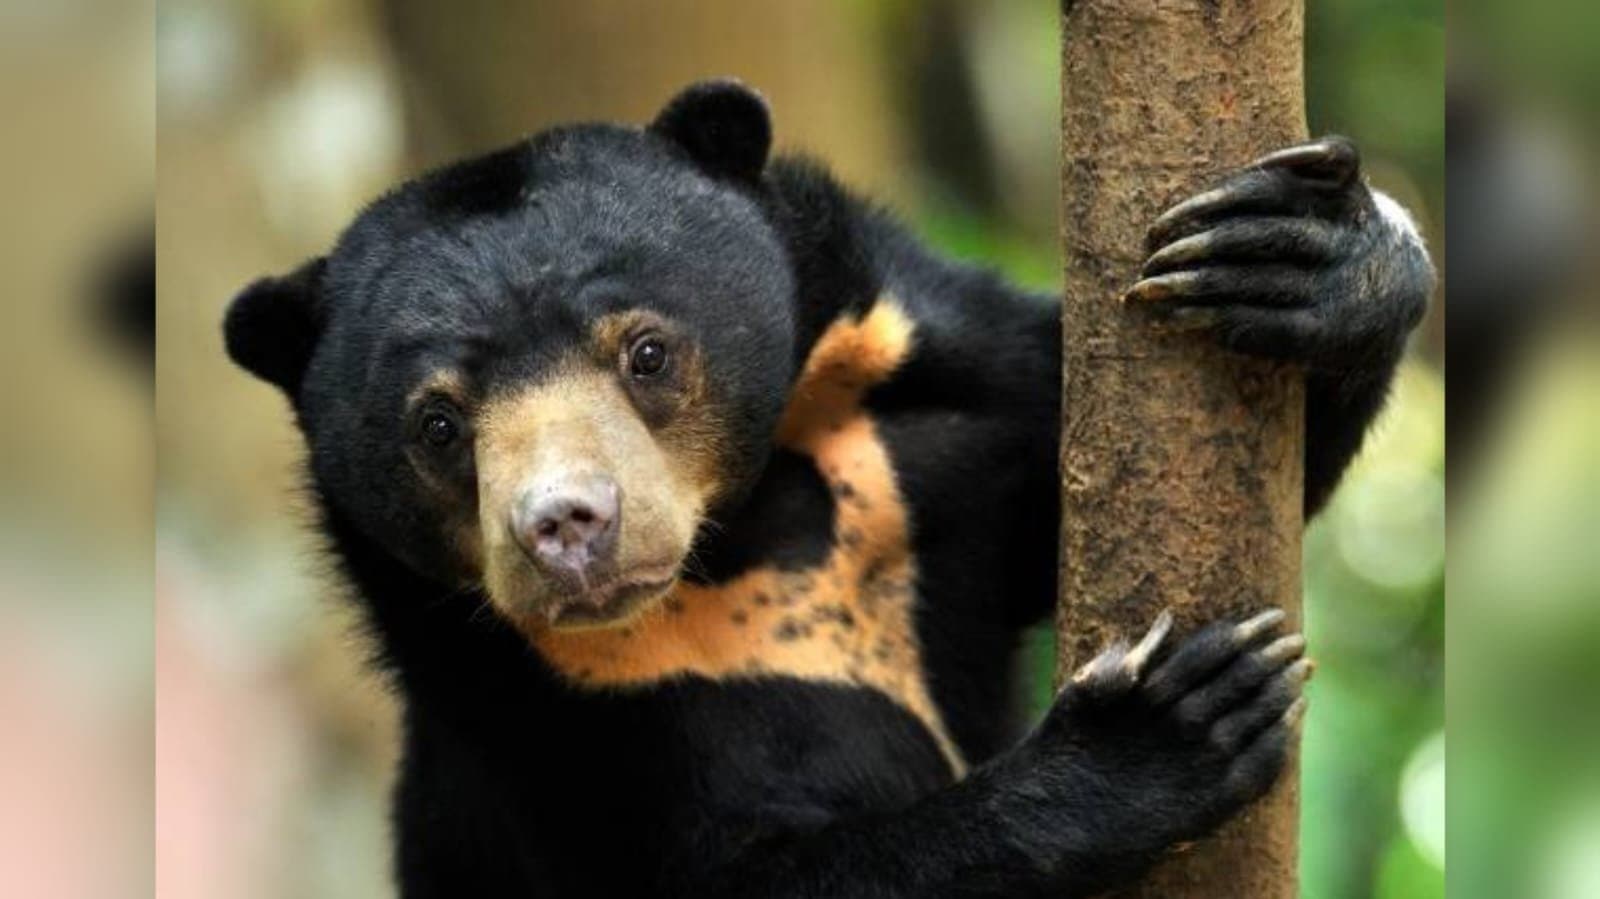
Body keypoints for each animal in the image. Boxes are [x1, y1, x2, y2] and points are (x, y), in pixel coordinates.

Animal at [223, 80, 1432, 898]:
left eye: (647, 352)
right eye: (436, 423)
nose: (565, 526)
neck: (749, 526)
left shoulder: (936, 425)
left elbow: (1067, 484)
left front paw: (1308, 255)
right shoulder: (546, 717)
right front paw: (1175, 719)